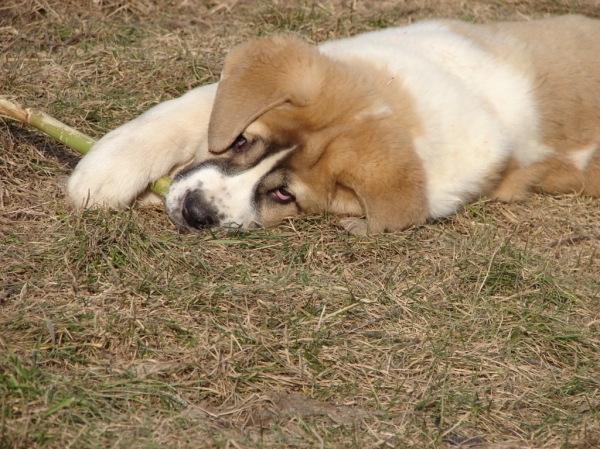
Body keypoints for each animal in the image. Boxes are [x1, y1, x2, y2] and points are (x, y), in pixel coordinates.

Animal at [67, 16, 600, 234]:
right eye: (240, 141)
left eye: (285, 196)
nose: (196, 213)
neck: (396, 107)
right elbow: (182, 113)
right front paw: (102, 177)